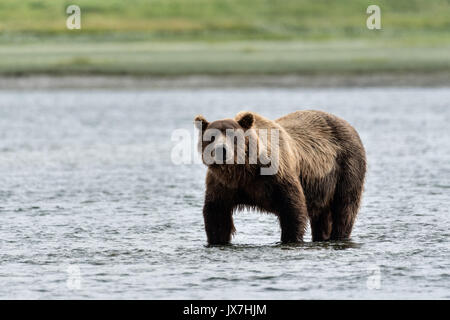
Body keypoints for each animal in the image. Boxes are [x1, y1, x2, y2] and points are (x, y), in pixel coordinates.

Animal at [193, 110, 366, 245]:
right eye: (211, 137)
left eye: (232, 135)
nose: (221, 150)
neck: (244, 171)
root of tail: (348, 124)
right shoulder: (223, 185)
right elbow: (217, 215)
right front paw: (217, 240)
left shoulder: (278, 176)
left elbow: (292, 208)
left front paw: (290, 239)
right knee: (322, 216)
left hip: (347, 167)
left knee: (344, 208)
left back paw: (339, 236)